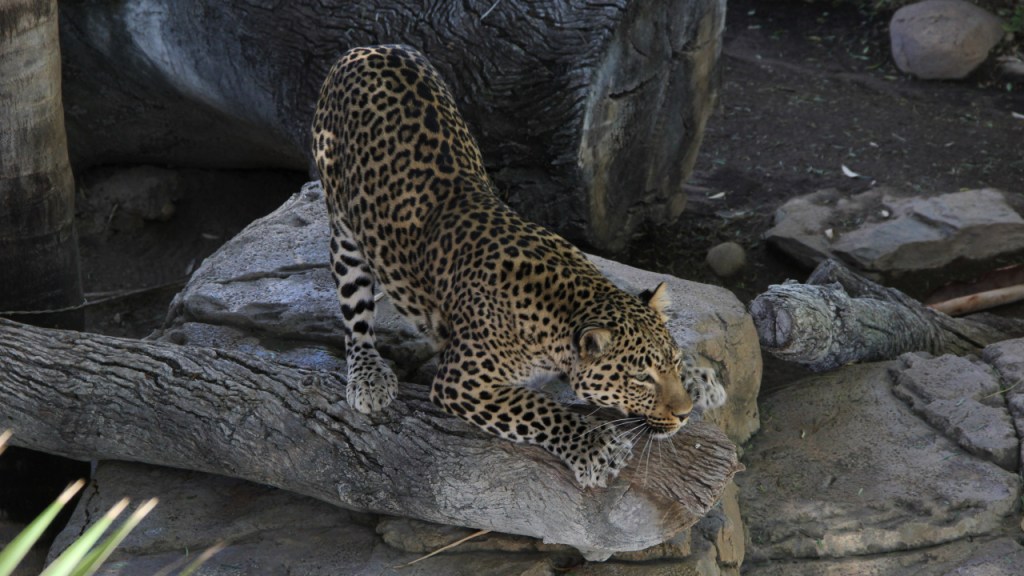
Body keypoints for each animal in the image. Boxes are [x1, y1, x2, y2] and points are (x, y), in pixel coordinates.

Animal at [312, 45, 726, 488]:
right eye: (641, 378)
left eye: (674, 364)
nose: (684, 415)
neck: (564, 307)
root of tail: (364, 50)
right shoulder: (464, 381)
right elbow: (537, 408)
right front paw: (597, 448)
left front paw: (700, 381)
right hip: (344, 230)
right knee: (355, 315)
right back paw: (368, 375)